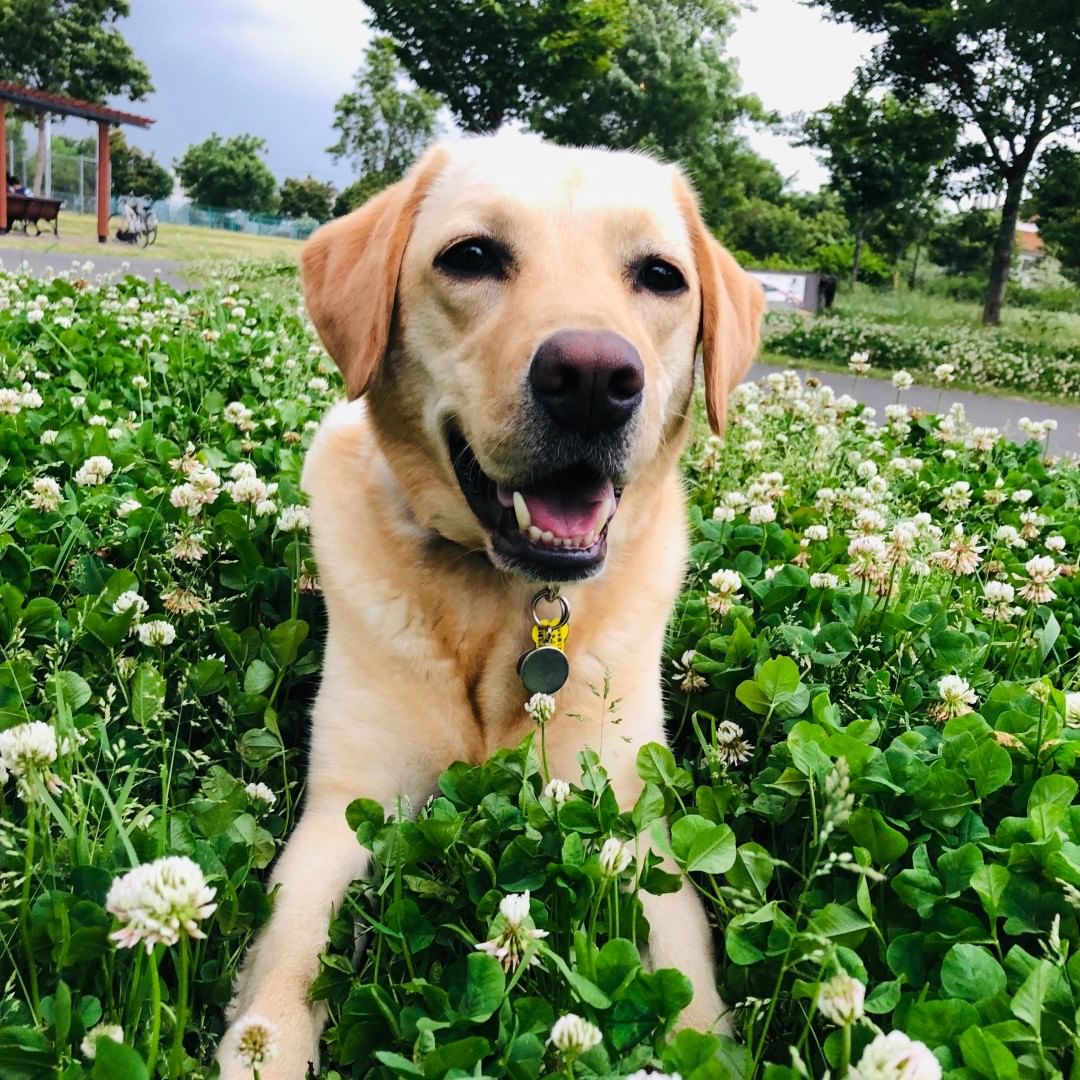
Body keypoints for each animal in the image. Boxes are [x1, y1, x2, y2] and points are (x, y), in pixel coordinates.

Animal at [217, 130, 760, 1075]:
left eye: (661, 276)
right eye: (471, 257)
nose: (593, 377)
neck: (504, 596)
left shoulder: (632, 822)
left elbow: (692, 991)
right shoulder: (341, 812)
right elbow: (282, 982)